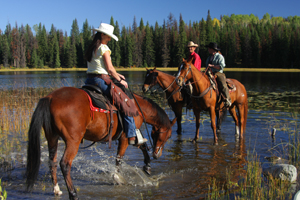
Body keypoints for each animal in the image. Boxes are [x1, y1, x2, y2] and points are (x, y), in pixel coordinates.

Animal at [26, 86, 176, 199]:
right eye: (168, 135)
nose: (157, 154)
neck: (138, 109)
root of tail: (50, 98)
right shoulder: (125, 138)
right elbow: (119, 158)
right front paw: (117, 177)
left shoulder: (133, 135)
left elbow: (143, 146)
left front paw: (147, 167)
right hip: (73, 141)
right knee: (65, 164)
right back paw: (73, 193)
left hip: (52, 137)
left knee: (52, 162)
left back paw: (57, 189)